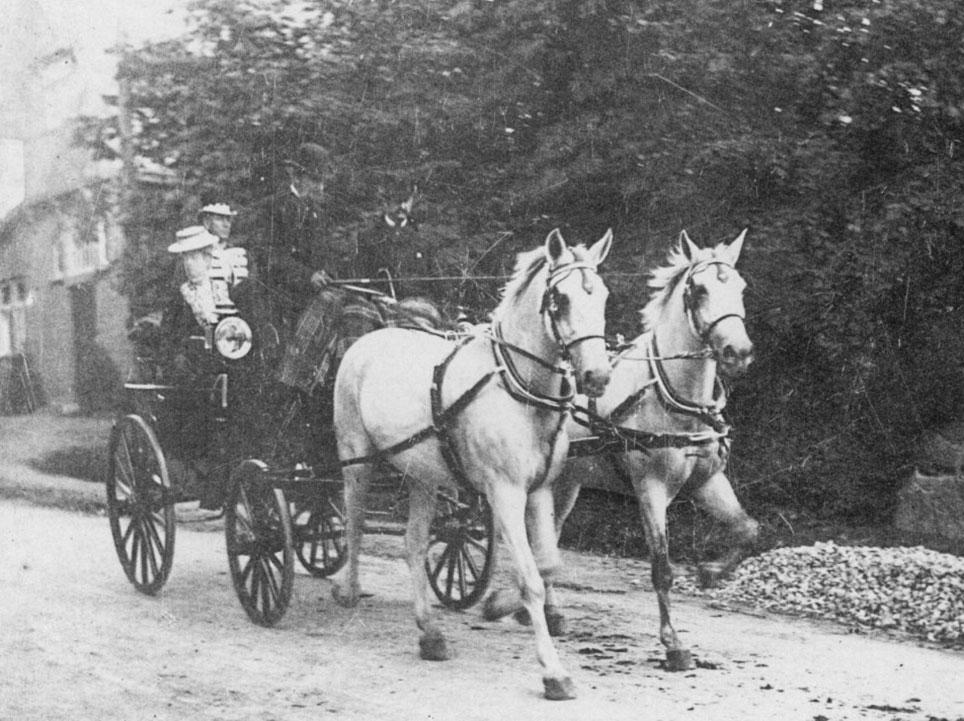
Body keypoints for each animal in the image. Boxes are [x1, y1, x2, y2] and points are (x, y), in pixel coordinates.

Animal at [334, 229, 612, 696]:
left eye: (604, 296)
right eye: (561, 298)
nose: (598, 377)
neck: (518, 388)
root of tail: (367, 341)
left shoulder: (538, 491)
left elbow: (548, 564)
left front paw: (497, 604)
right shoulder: (505, 492)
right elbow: (531, 577)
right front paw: (553, 671)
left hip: (422, 476)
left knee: (413, 543)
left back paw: (429, 633)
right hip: (357, 459)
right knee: (353, 524)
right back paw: (349, 591)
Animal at [486, 229, 756, 668]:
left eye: (740, 287)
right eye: (698, 290)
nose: (739, 352)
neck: (672, 396)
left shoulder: (708, 481)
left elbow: (748, 529)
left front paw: (711, 572)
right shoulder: (651, 488)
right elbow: (661, 566)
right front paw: (673, 643)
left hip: (567, 482)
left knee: (550, 537)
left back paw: (550, 613)